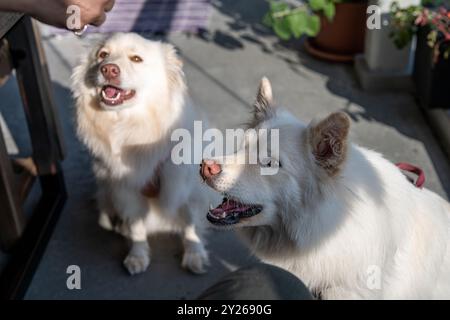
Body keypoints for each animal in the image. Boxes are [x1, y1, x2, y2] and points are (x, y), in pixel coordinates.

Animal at [72, 32, 216, 276]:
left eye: (136, 59)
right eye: (103, 55)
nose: (108, 69)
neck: (130, 126)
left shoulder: (187, 189)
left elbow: (191, 225)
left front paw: (194, 255)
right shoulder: (125, 190)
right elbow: (137, 228)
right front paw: (137, 256)